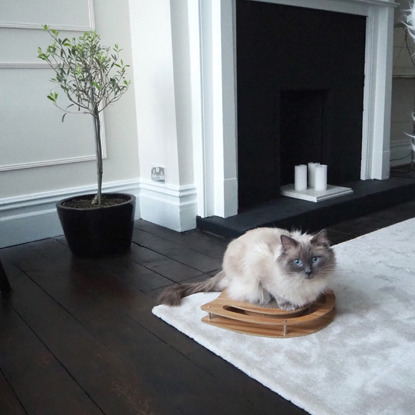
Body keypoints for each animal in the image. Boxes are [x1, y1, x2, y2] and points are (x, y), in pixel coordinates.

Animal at [158, 228, 336, 312]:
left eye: (314, 259)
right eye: (297, 261)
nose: (308, 272)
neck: (301, 284)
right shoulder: (261, 271)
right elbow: (277, 294)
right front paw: (286, 305)